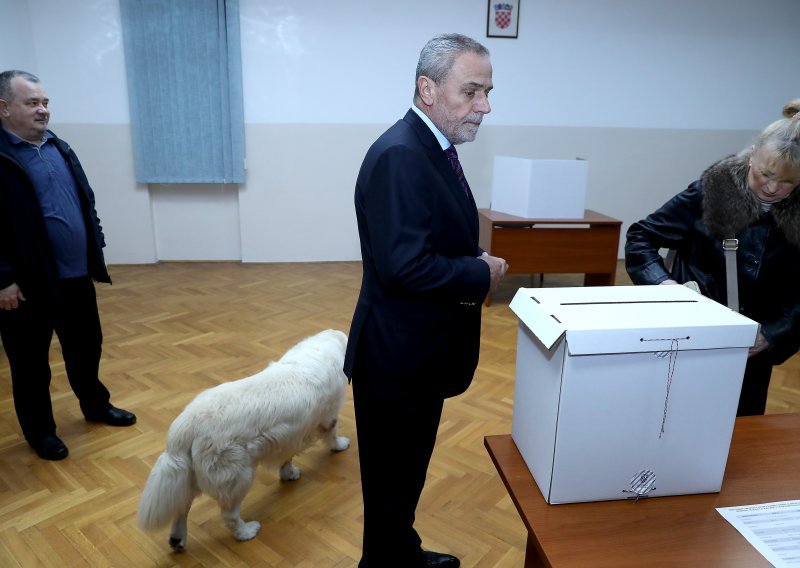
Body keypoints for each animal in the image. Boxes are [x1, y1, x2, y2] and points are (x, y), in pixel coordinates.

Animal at [138, 328, 350, 552]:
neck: (321, 348)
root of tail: (187, 423)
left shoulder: (289, 436)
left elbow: (287, 457)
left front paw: (289, 473)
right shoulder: (329, 416)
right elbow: (333, 435)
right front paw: (340, 446)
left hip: (192, 476)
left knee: (182, 508)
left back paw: (177, 540)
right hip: (238, 476)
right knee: (229, 515)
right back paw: (246, 532)